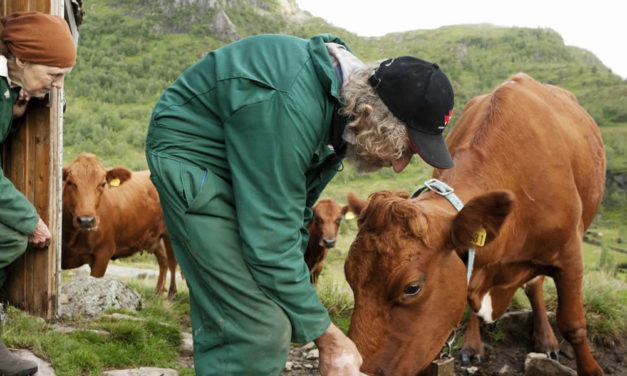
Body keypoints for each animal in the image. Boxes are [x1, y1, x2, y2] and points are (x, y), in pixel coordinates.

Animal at [62, 152, 179, 296]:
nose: (86, 220)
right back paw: (158, 293)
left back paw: (171, 294)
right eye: (69, 182)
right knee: (163, 260)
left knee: (172, 261)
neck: (72, 236)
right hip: (154, 236)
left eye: (103, 183)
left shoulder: (103, 253)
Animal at [346, 74, 604, 376]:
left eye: (411, 288)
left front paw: (591, 369)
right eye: (349, 277)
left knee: (535, 284)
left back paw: (545, 338)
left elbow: (573, 325)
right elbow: (467, 296)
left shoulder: (570, 253)